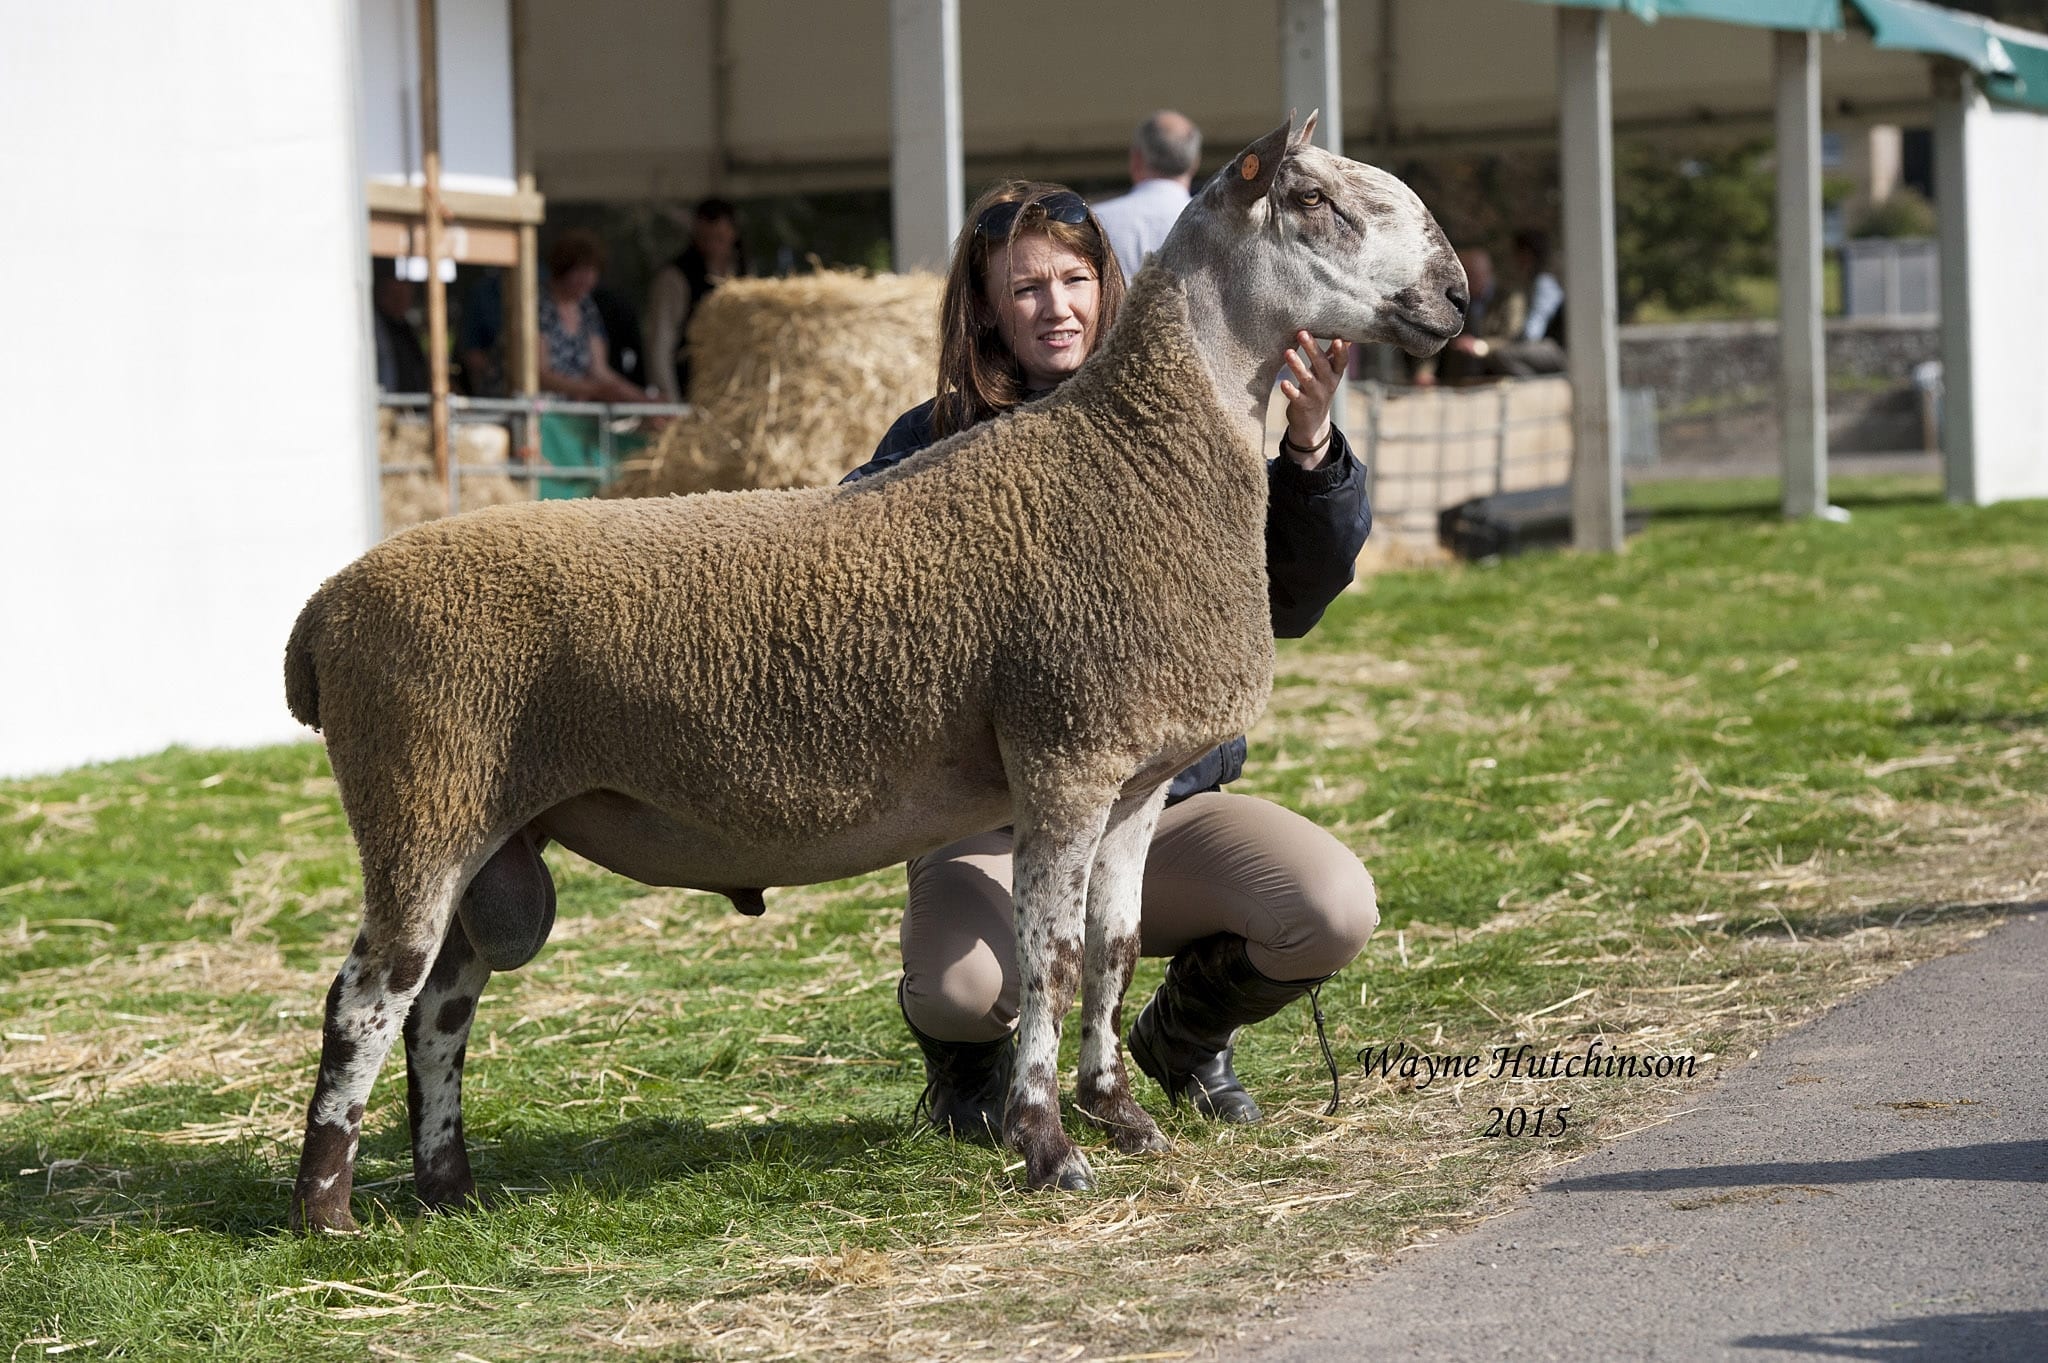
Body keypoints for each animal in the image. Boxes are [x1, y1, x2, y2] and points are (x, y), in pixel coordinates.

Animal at [284, 111, 1474, 1227]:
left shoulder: (1136, 778)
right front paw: (1050, 1149)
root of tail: (318, 618)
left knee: (441, 1005)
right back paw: (328, 1217)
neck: (1141, 450)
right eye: (1311, 198)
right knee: (365, 996)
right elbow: (1046, 959)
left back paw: (446, 1187)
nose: (1456, 296)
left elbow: (1115, 948)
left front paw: (1123, 1116)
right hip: (421, 798)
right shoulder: (1065, 754)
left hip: (489, 829)